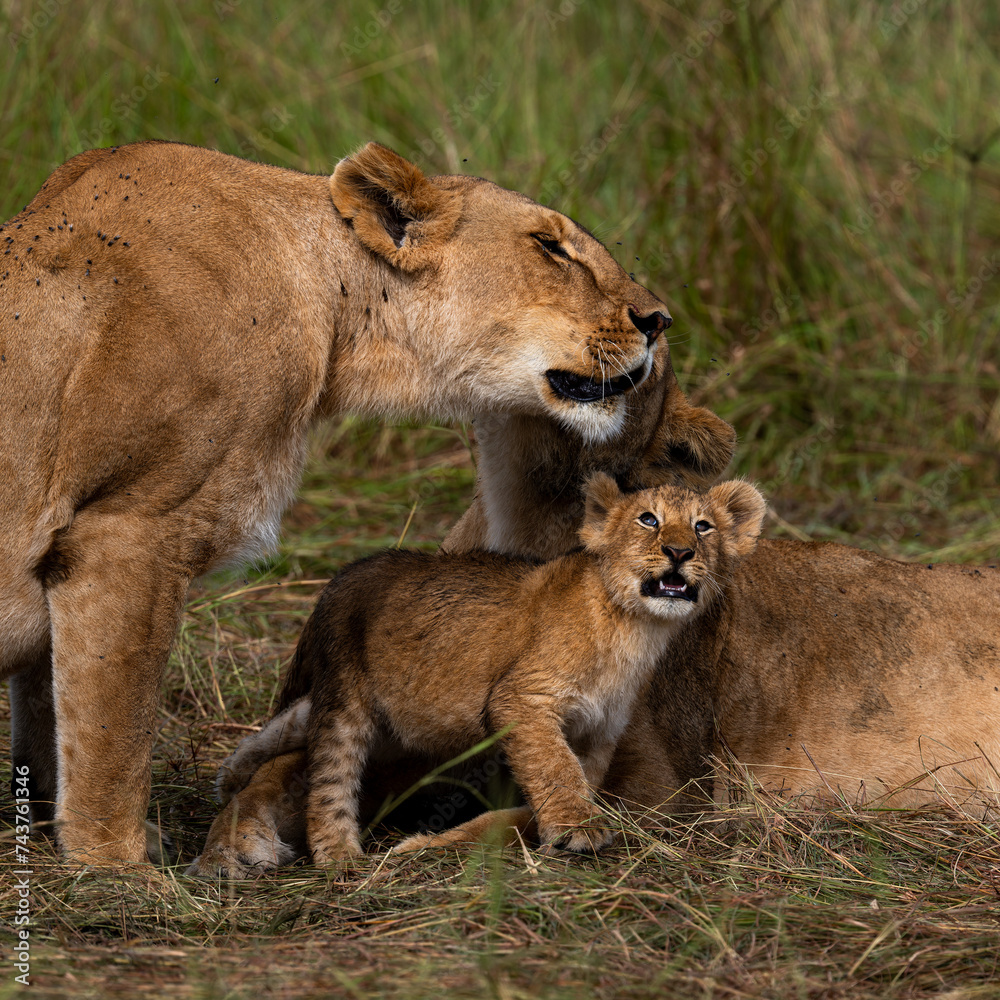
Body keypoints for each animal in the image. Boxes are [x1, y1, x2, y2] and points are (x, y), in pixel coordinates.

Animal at [0, 137, 736, 864]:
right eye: (550, 247)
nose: (658, 319)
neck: (332, 319)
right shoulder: (126, 532)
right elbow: (112, 733)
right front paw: (117, 865)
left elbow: (51, 710)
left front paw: (50, 827)